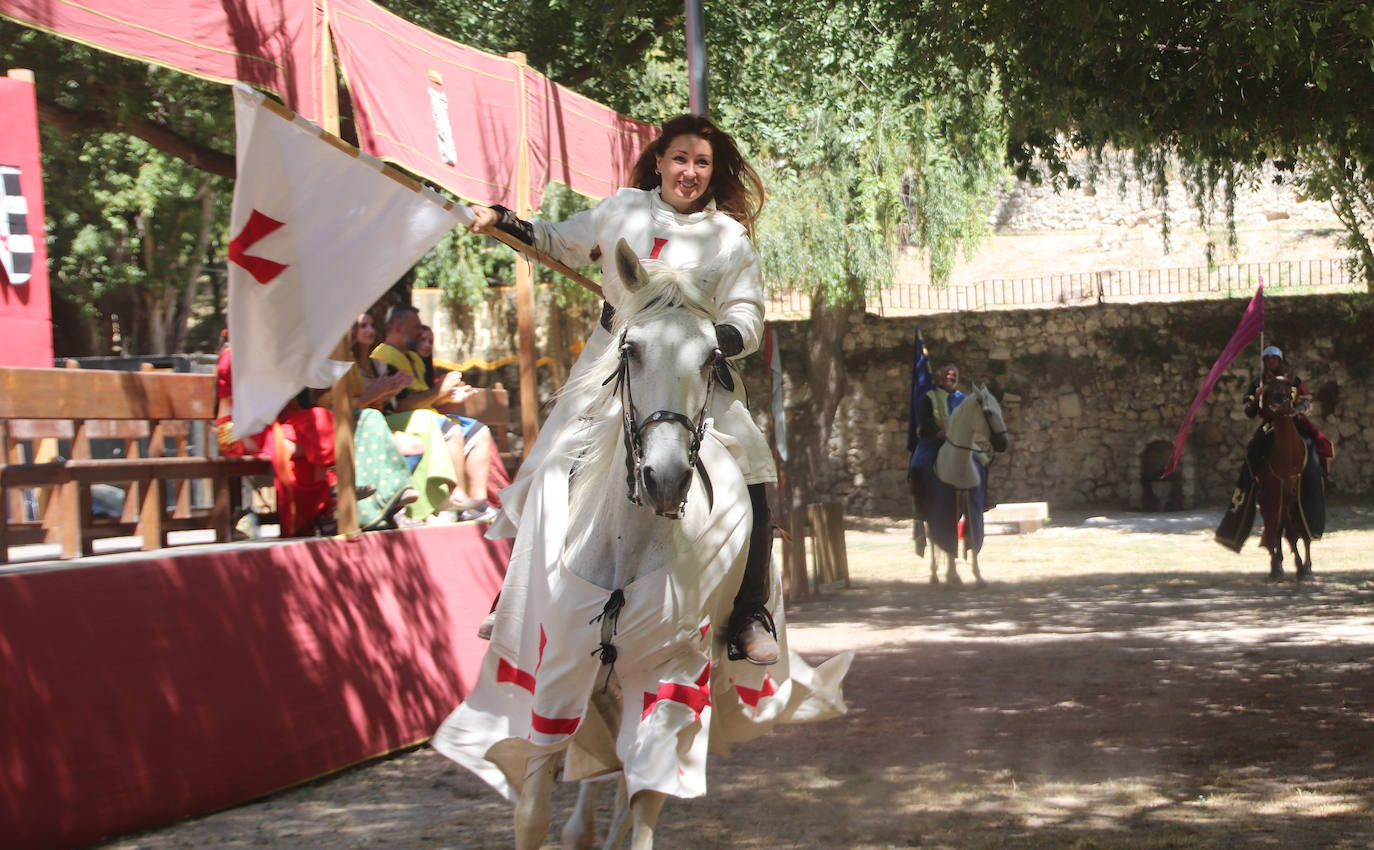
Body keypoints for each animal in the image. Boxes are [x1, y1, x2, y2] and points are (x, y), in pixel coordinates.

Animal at [436, 237, 846, 850]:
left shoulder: (669, 682)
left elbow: (646, 792)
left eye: (712, 357)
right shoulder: (552, 674)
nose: (666, 478)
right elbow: (533, 807)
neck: (623, 546)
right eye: (629, 350)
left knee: (627, 778)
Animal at [923, 384, 1011, 587]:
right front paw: (952, 576)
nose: (1003, 443)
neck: (958, 462)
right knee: (932, 537)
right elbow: (948, 537)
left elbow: (971, 534)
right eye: (988, 412)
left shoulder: (970, 504)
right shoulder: (947, 505)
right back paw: (935, 574)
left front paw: (977, 576)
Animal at [1258, 378, 1313, 584]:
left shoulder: (1296, 495)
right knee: (1278, 529)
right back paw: (1277, 565)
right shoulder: (1275, 492)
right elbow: (1281, 530)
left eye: (1288, 390)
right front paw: (1281, 566)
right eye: (1269, 389)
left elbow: (1298, 532)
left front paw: (1304, 567)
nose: (1275, 403)